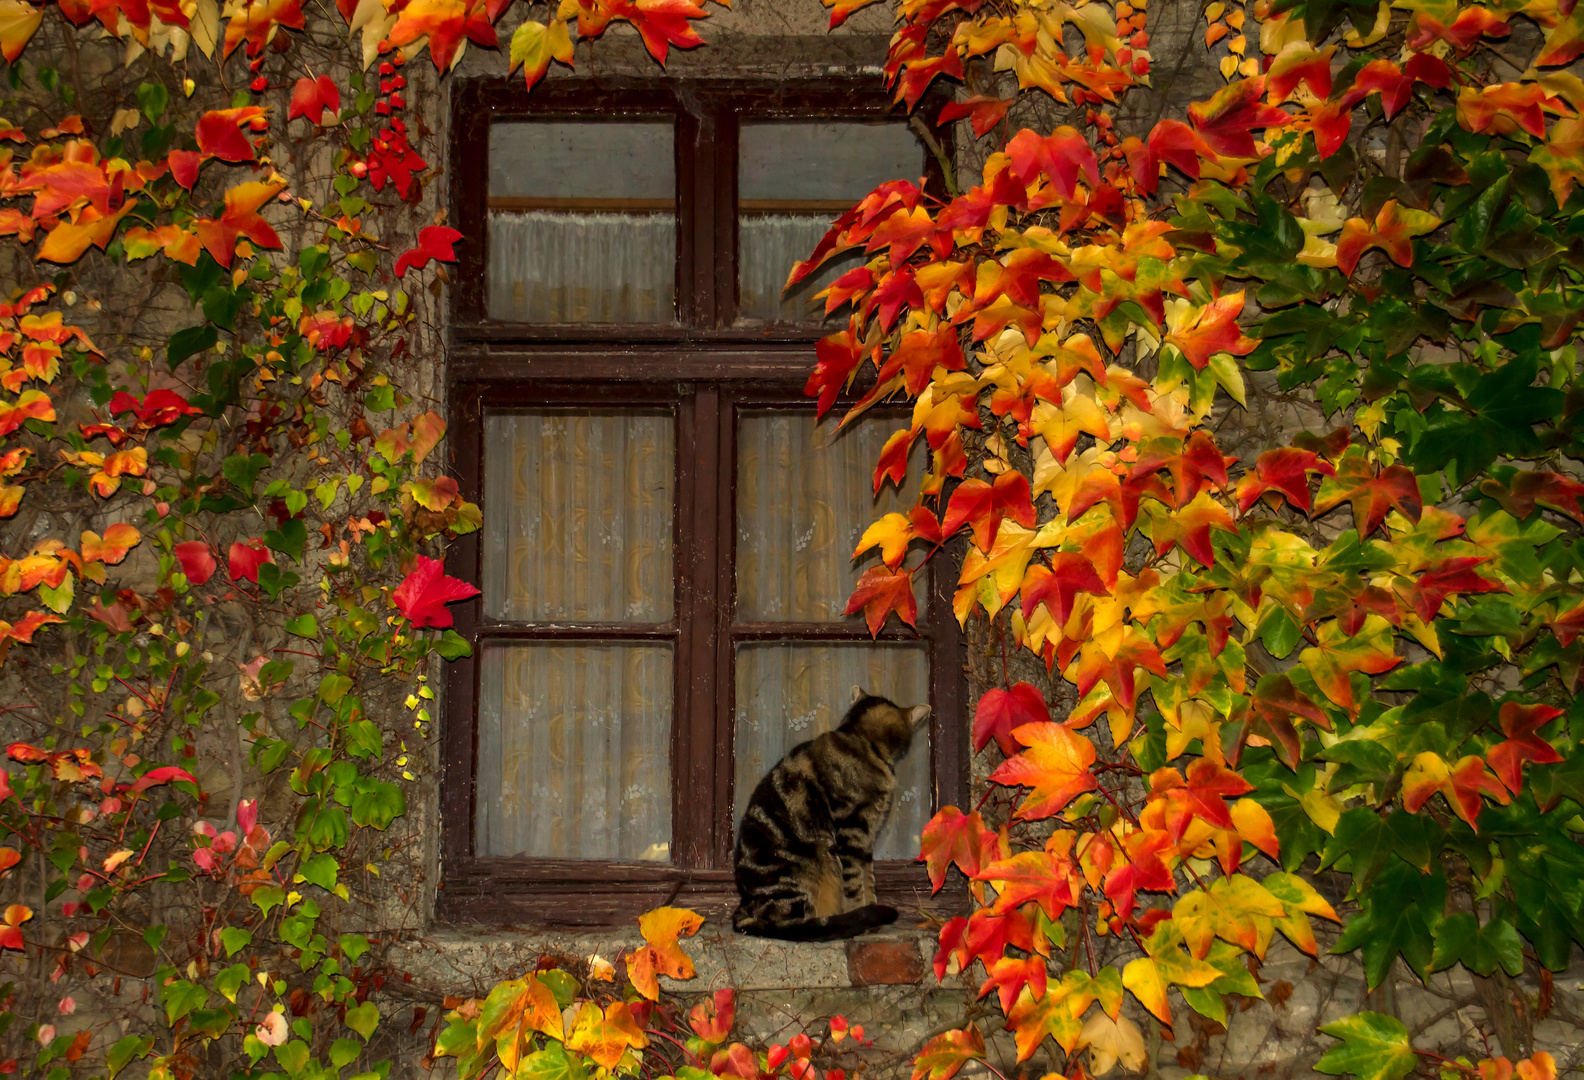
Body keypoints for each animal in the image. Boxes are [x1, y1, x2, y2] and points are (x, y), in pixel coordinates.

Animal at [728, 684, 925, 937]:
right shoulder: (852, 832)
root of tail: (745, 904)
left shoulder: (867, 838)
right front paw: (863, 915)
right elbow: (855, 886)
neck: (860, 739)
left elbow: (868, 880)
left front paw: (872, 912)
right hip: (808, 869)